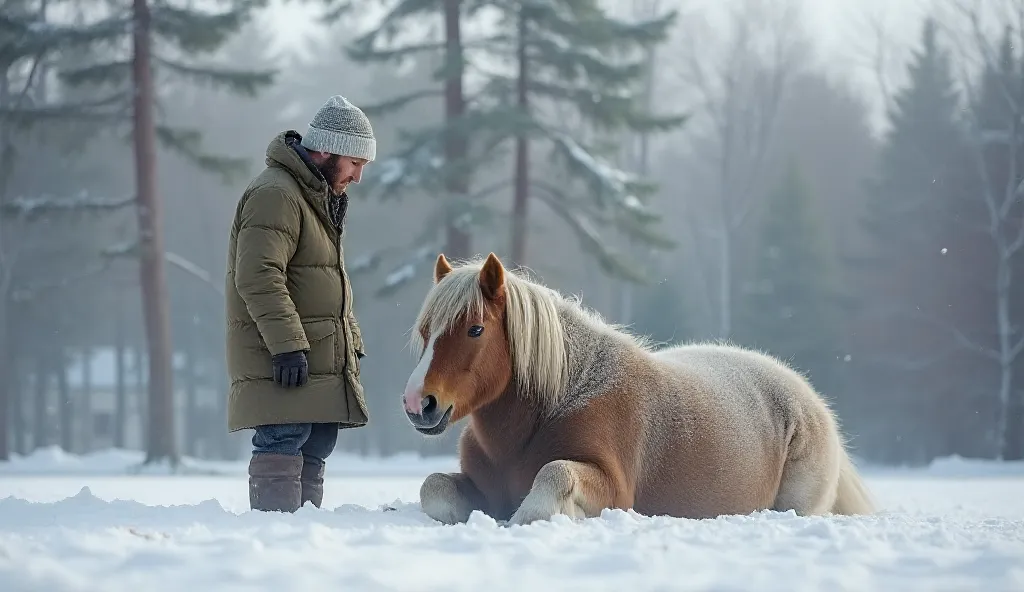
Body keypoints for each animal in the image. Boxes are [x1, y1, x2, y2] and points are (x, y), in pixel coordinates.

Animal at [399, 250, 872, 522]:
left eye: (476, 329)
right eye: (425, 331)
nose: (418, 403)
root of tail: (808, 398)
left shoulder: (614, 490)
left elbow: (552, 477)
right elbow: (433, 487)